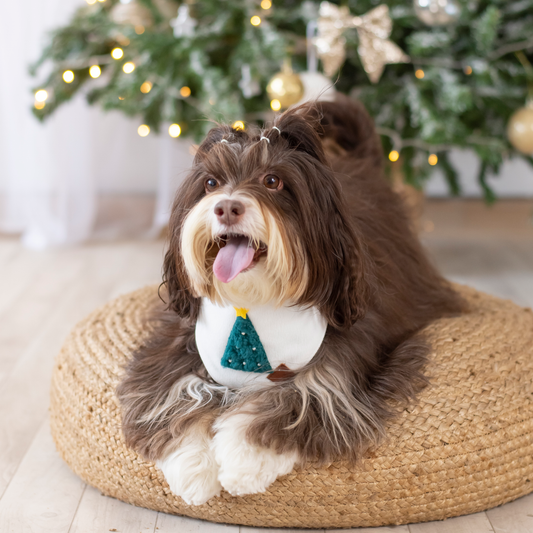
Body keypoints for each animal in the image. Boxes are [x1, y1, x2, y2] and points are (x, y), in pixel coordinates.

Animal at [115, 93, 462, 504]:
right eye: (211, 182)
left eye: (272, 180)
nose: (226, 206)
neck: (252, 306)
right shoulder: (176, 346)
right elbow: (177, 393)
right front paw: (194, 469)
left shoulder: (342, 364)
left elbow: (299, 396)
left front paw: (243, 461)